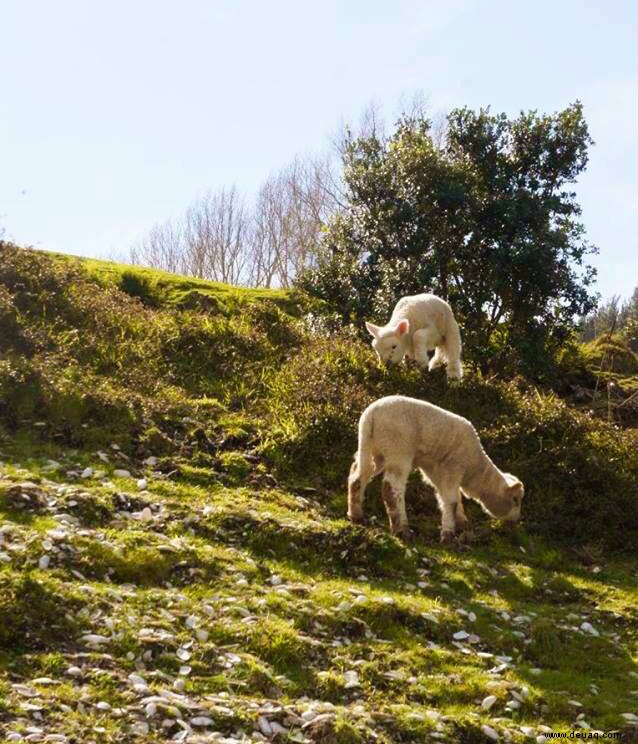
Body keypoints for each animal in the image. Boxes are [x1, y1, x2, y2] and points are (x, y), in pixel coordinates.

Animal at [350, 396, 524, 540]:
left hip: (372, 448)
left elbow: (451, 497)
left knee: (357, 476)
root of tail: (371, 415)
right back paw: (402, 529)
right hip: (398, 448)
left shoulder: (435, 471)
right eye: (515, 500)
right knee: (392, 488)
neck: (475, 470)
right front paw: (448, 534)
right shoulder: (453, 467)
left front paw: (461, 524)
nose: (515, 521)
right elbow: (451, 500)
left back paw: (356, 515)